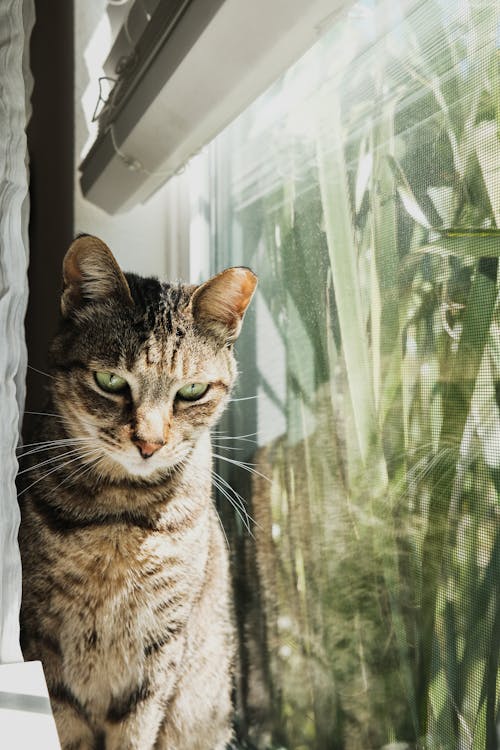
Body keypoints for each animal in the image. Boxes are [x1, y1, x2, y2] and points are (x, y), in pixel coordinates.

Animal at [18, 236, 258, 750]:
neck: (120, 519)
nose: (149, 443)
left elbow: (135, 731)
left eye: (191, 390)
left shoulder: (158, 650)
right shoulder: (42, 636)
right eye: (110, 381)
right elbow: (64, 722)